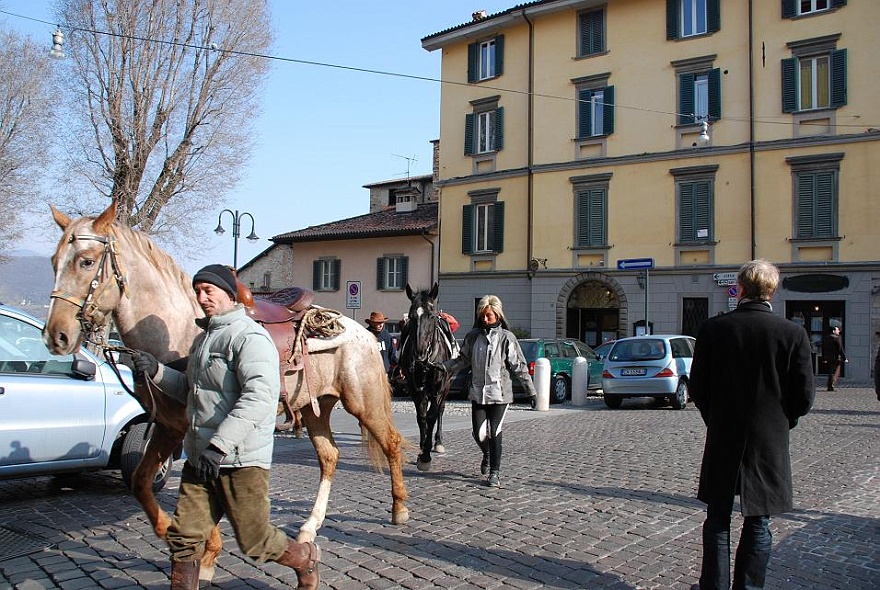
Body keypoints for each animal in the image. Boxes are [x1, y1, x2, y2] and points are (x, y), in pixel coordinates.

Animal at [398, 282, 458, 472]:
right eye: (411, 317)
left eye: (431, 316)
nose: (420, 354)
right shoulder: (415, 389)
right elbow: (422, 417)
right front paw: (422, 448)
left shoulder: (439, 388)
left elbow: (432, 416)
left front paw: (425, 455)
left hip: (446, 387)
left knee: (440, 410)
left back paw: (437, 442)